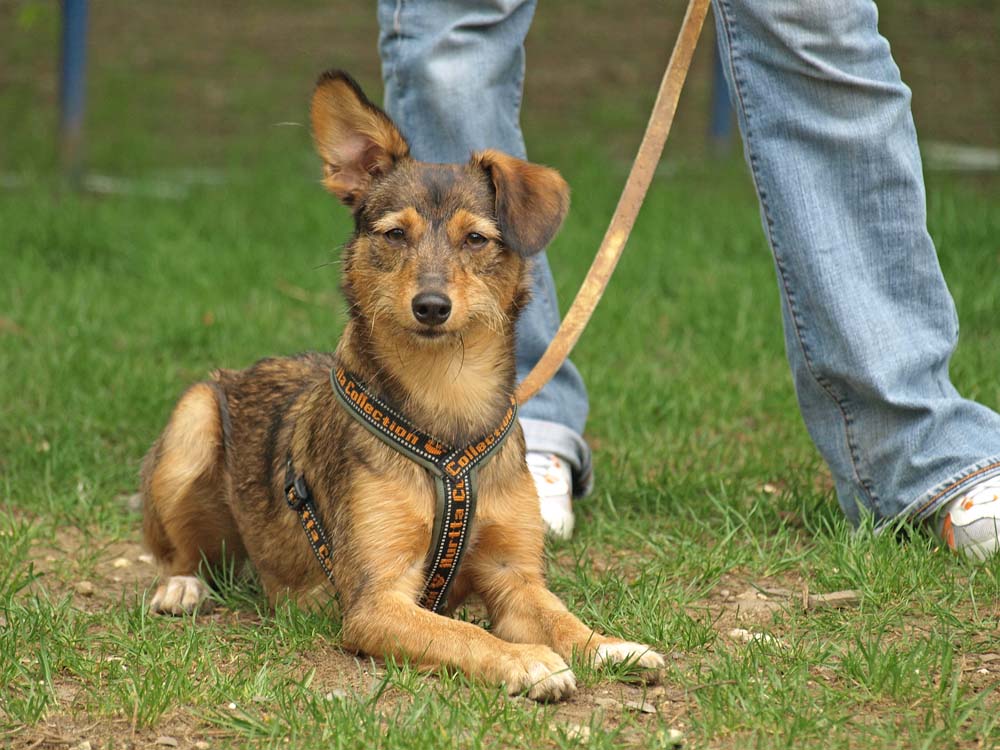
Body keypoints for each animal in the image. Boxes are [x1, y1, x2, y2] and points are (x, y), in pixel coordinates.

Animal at [139, 72, 656, 704]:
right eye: (393, 234)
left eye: (477, 240)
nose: (431, 305)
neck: (447, 399)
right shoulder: (374, 601)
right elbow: (462, 632)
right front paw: (526, 660)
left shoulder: (514, 576)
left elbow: (559, 616)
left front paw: (608, 646)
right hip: (191, 423)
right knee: (181, 551)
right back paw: (181, 587)